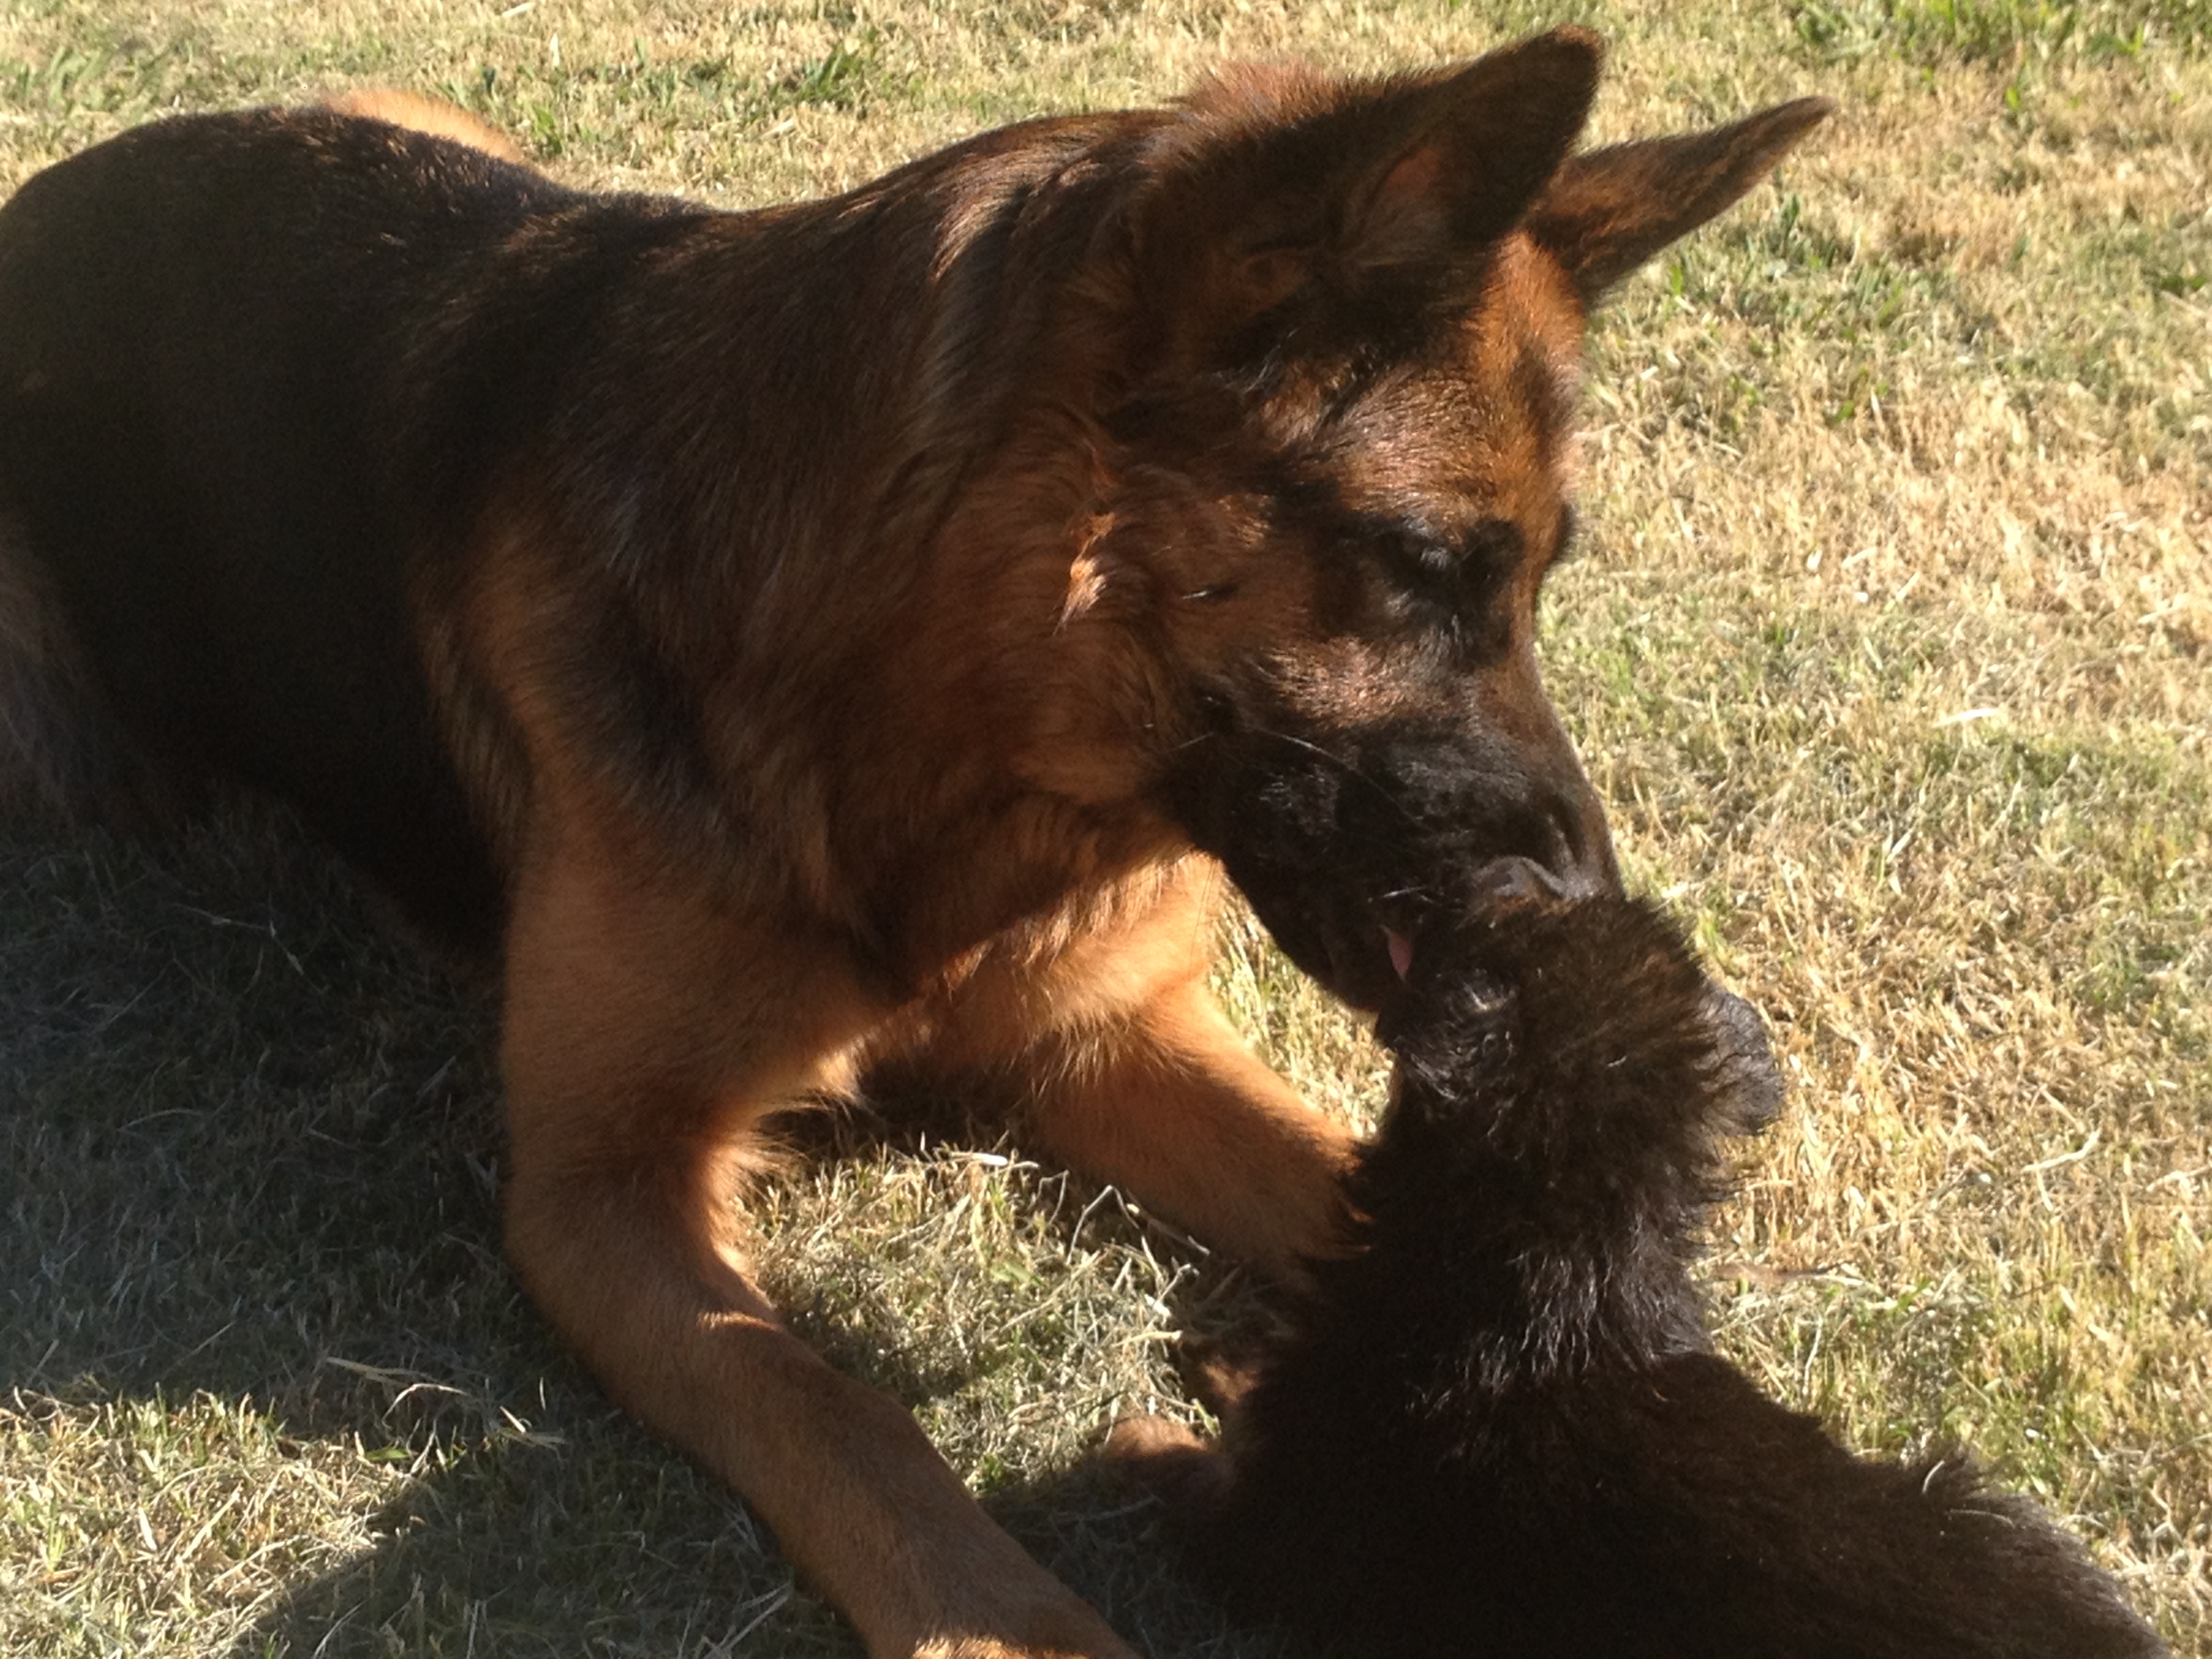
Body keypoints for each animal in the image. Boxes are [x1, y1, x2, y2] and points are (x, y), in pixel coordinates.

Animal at [0, 29, 1831, 1659]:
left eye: (1539, 579)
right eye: (1425, 562)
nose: (1597, 928)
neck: (935, 757)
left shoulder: (1103, 1037)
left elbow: (1365, 1184)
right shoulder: (601, 1189)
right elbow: (839, 1409)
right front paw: (1016, 1627)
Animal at [1115, 898, 2167, 1659]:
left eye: (1494, 933)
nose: (1498, 873)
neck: (1565, 1272)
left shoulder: (1280, 1533)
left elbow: (1188, 1469)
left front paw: (1145, 1426)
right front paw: (1226, 1354)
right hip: (1979, 1503)